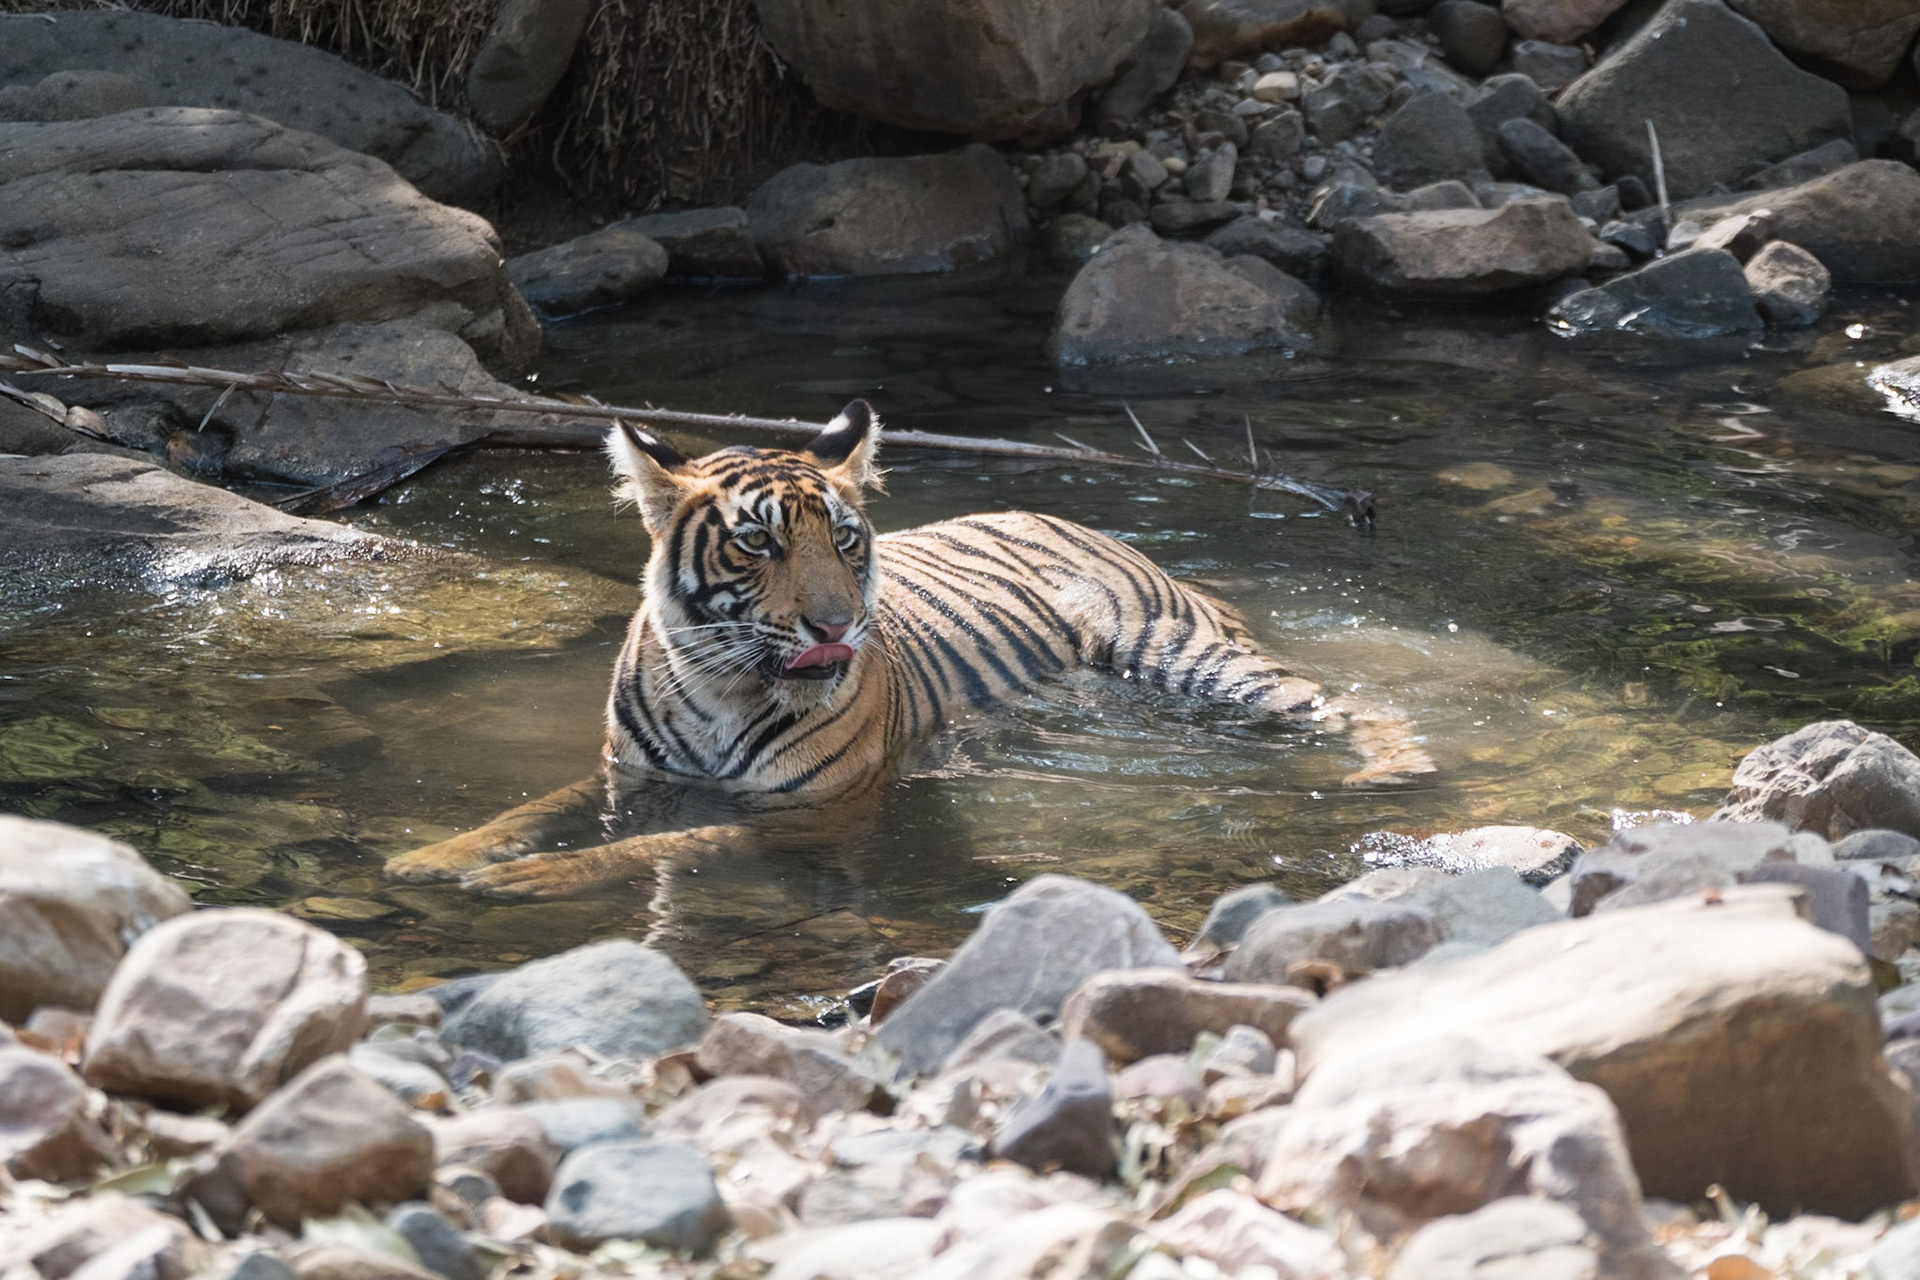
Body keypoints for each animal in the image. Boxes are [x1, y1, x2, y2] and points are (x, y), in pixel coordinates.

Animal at [384, 400, 1434, 899]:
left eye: (846, 539)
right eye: (759, 542)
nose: (836, 624)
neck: (718, 686)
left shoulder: (816, 813)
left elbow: (654, 846)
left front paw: (520, 880)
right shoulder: (626, 774)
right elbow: (529, 809)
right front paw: (430, 858)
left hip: (1174, 649)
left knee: (1352, 703)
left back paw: (1392, 771)